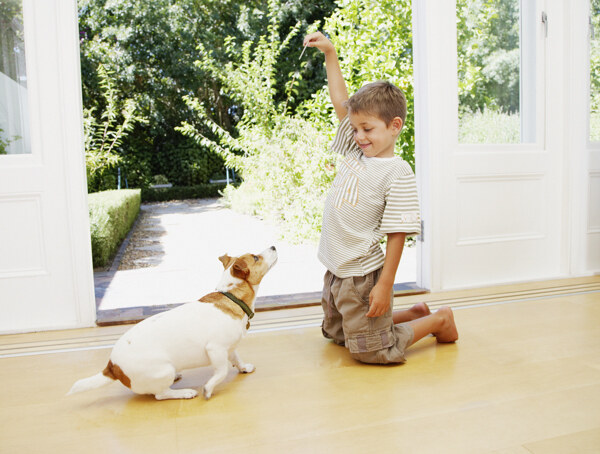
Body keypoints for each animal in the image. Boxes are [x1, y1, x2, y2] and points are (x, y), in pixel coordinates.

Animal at [68, 247, 278, 400]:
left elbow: (236, 359)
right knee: (160, 395)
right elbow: (222, 371)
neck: (231, 296)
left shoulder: (230, 347)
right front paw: (208, 388)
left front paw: (244, 368)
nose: (274, 246)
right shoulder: (216, 349)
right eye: (256, 257)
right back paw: (184, 393)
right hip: (164, 370)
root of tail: (112, 366)